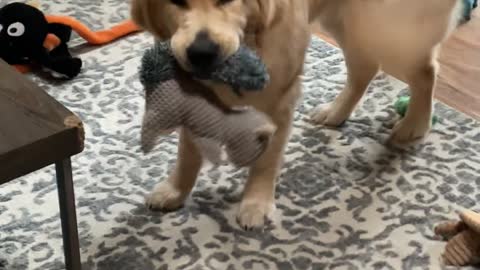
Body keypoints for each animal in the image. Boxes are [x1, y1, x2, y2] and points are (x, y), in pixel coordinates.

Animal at [132, 0, 464, 229]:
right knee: (366, 66)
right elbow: (187, 154)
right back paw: (335, 112)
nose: (202, 52)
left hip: (386, 28)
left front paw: (255, 204)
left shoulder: (279, 99)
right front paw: (175, 191)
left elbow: (266, 161)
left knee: (425, 71)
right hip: (348, 22)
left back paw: (413, 125)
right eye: (176, 1)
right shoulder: (190, 90)